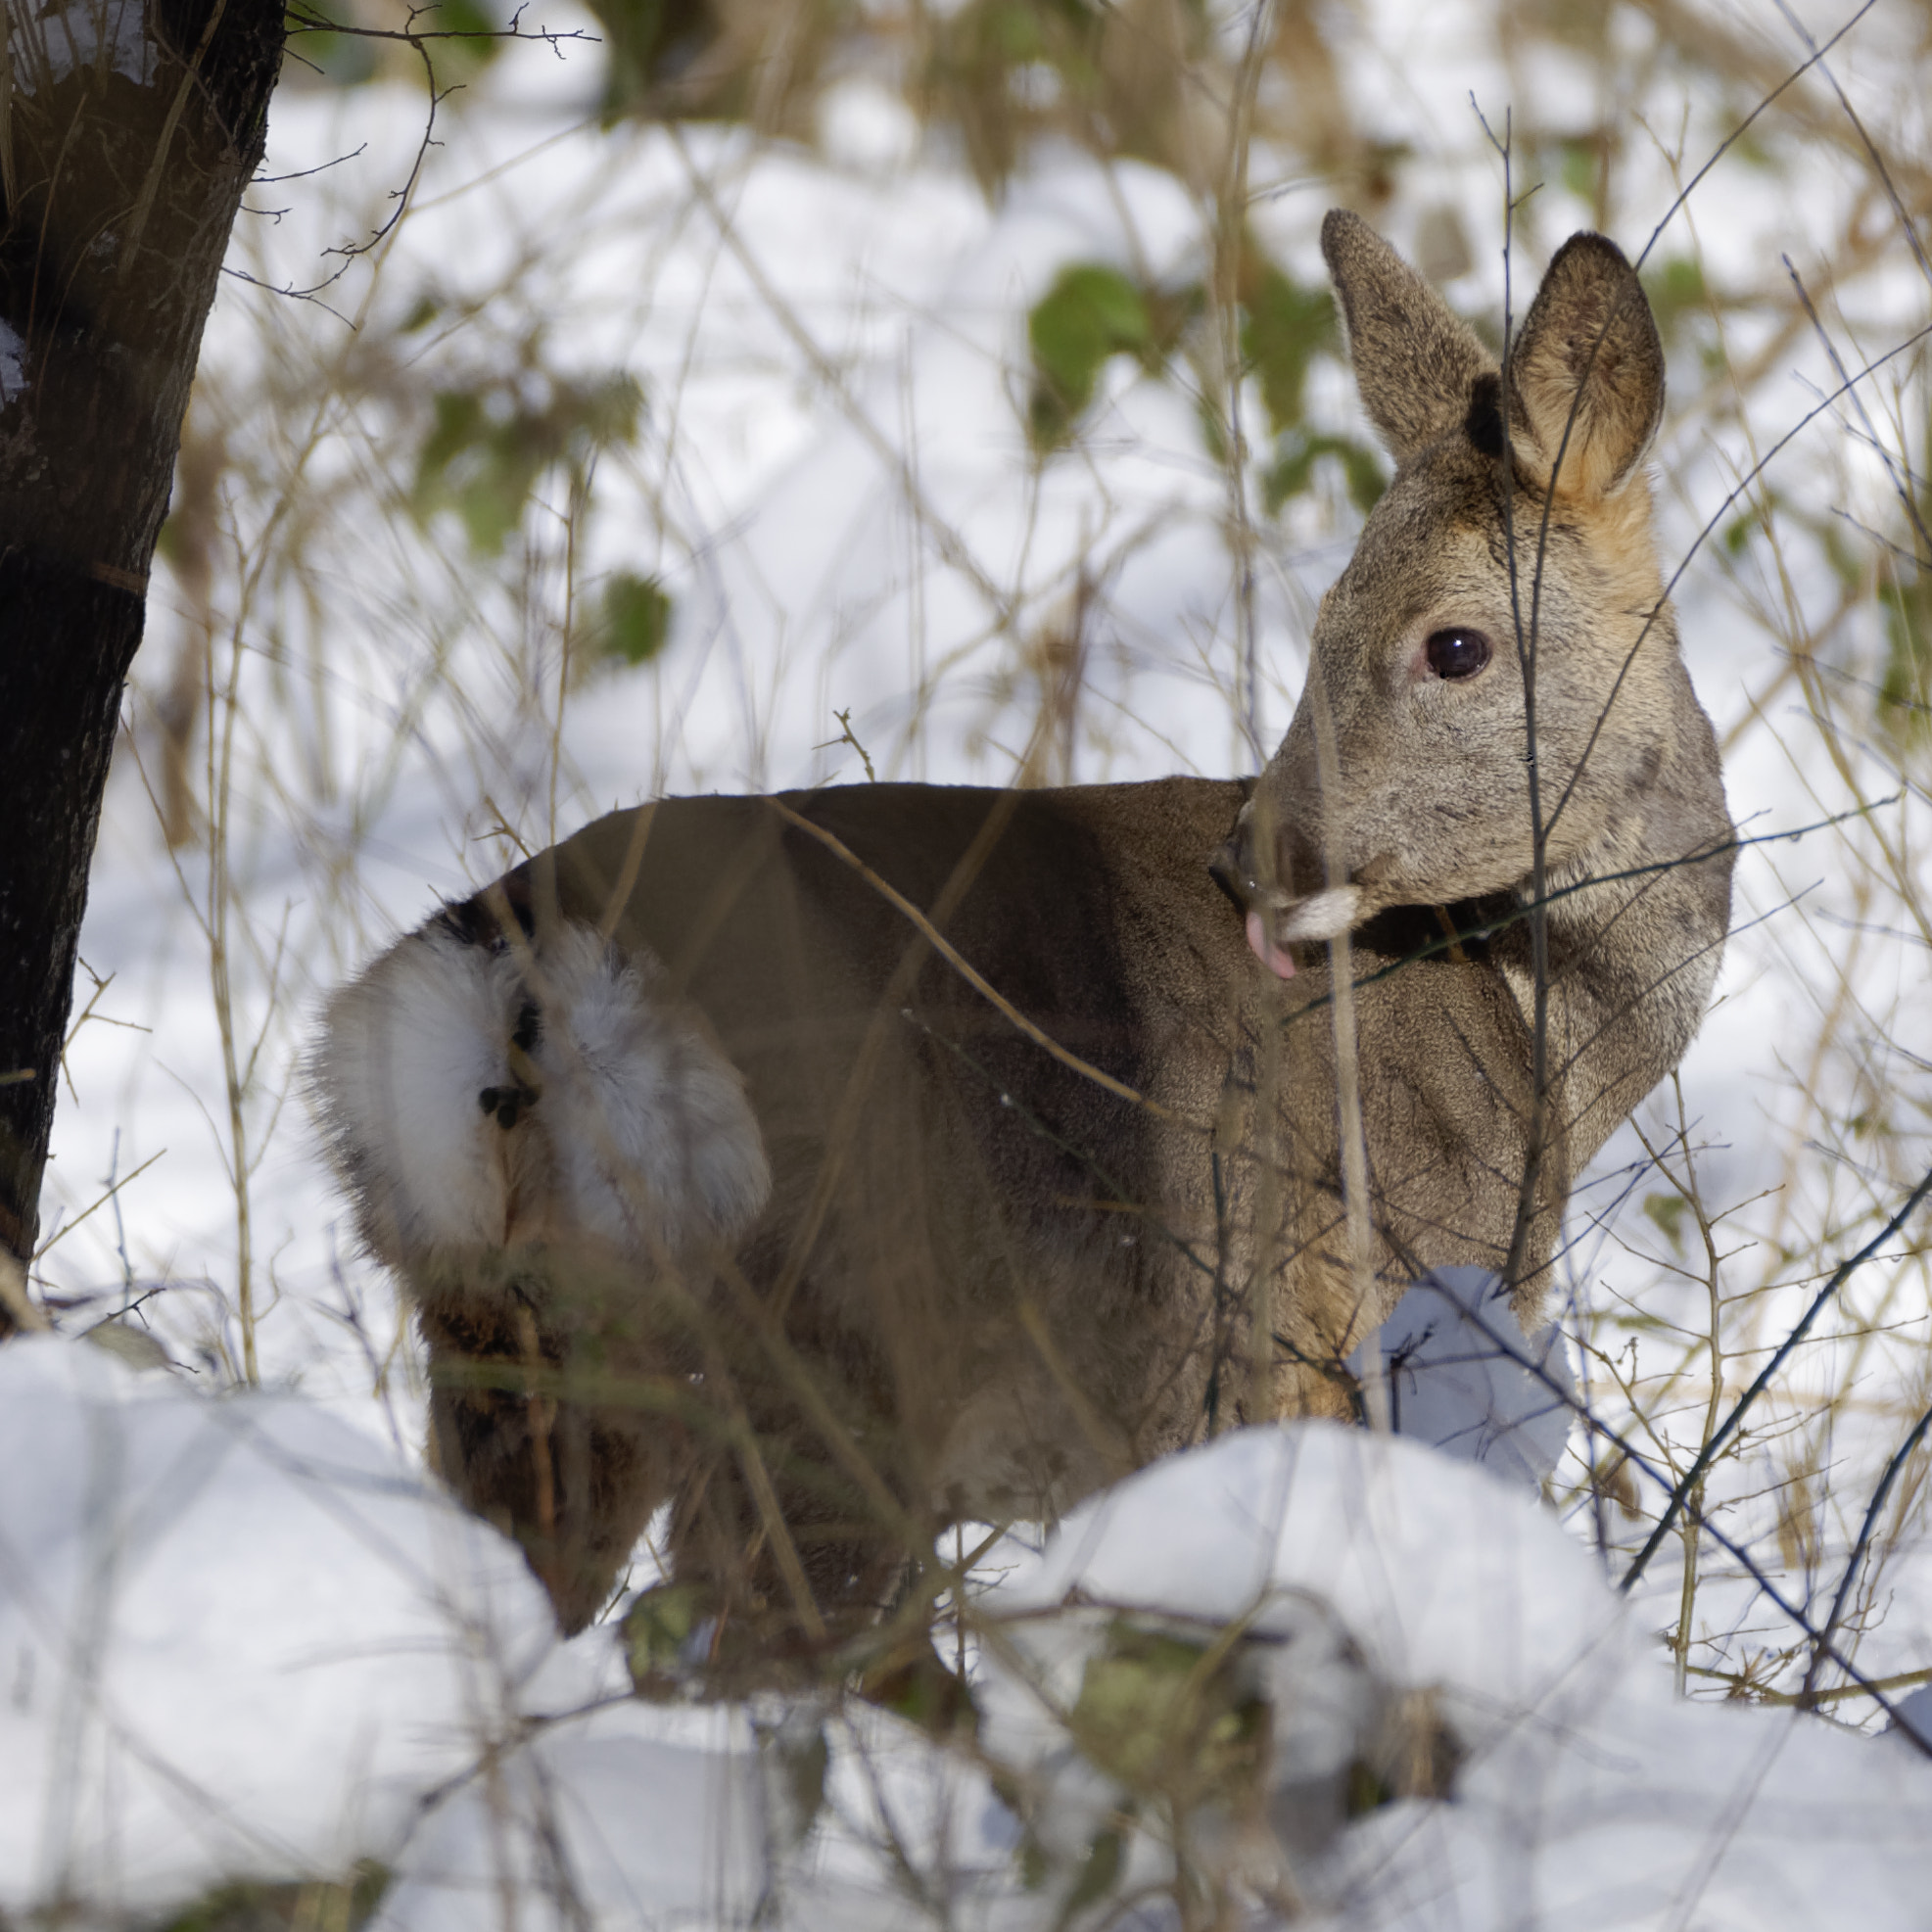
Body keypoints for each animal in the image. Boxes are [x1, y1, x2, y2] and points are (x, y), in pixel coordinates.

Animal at [312, 212, 1738, 1661]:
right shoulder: (1367, 1312)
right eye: (1323, 624)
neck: (1535, 1028)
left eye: (1450, 646)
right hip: (835, 1340)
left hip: (507, 1353)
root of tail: (520, 981)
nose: (1248, 862)